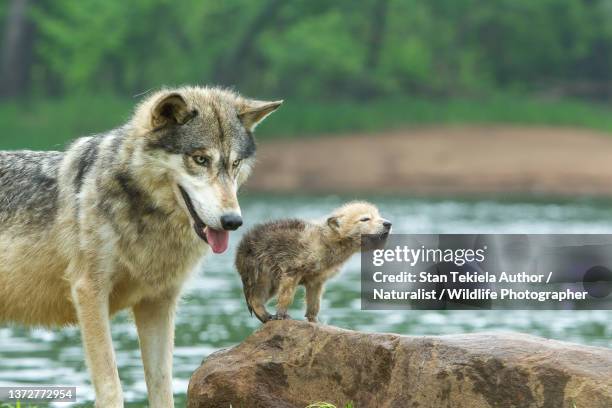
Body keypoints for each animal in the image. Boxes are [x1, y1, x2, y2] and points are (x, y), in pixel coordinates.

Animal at [0, 84, 282, 406]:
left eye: (235, 164)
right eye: (200, 159)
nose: (233, 221)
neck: (147, 218)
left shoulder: (158, 303)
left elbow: (162, 385)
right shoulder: (89, 293)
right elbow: (111, 385)